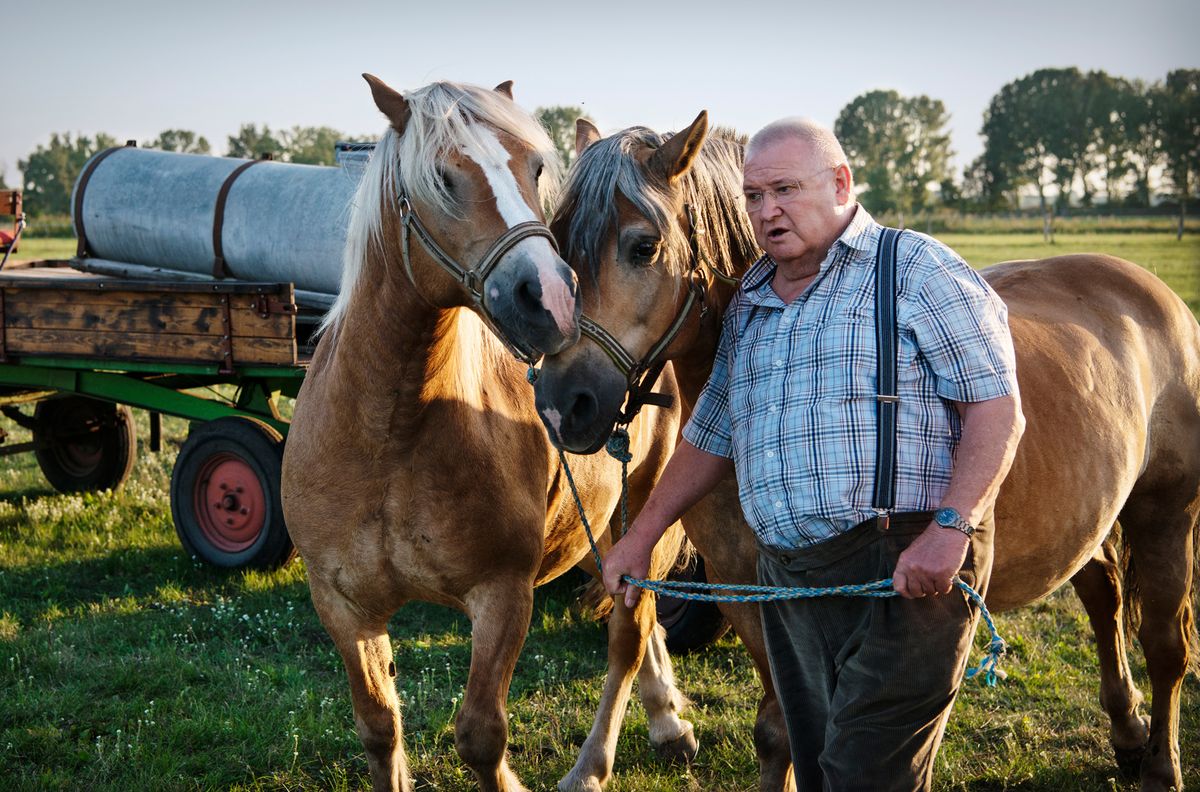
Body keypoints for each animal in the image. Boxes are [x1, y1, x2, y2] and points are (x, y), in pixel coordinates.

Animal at [279, 75, 700, 792]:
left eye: (535, 169)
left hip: (645, 511)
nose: (554, 298)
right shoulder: (343, 606)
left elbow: (481, 736)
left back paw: (623, 748)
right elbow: (379, 727)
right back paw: (665, 716)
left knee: (631, 629)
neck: (388, 437)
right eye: (443, 178)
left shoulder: (502, 597)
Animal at [530, 112, 1200, 792]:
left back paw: (1161, 763)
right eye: (559, 244)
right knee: (1104, 598)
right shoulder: (754, 603)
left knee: (1166, 644)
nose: (562, 403)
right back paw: (1128, 731)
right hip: (1091, 518)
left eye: (643, 247)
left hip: (1166, 514)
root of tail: (1148, 289)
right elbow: (778, 731)